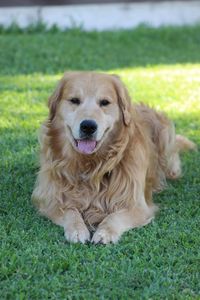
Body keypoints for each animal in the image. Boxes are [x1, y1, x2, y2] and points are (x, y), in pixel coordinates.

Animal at [32, 72, 196, 244]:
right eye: (74, 100)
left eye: (104, 102)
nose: (88, 126)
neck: (90, 164)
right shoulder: (50, 200)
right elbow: (70, 211)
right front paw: (77, 229)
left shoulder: (137, 206)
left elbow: (114, 217)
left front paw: (105, 232)